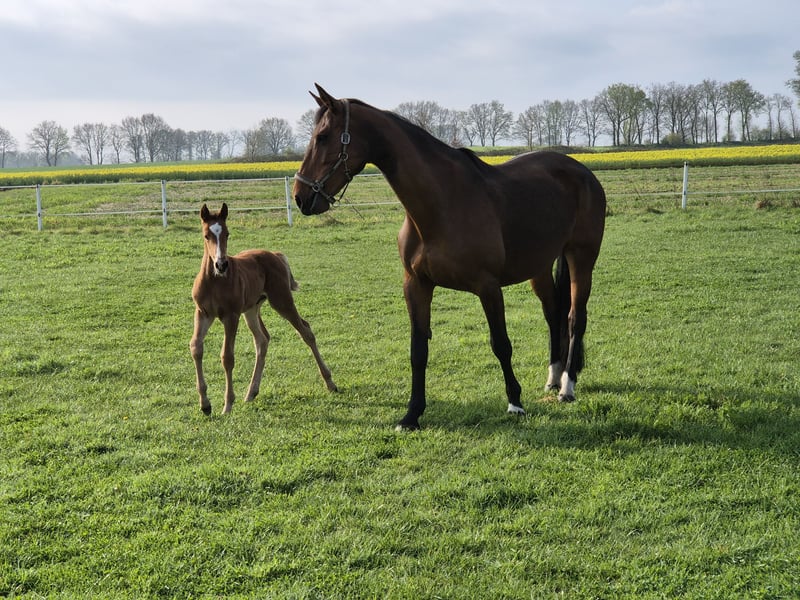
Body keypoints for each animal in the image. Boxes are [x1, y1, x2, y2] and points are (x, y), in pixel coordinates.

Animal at [190, 202, 338, 415]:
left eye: (227, 233)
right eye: (206, 235)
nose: (221, 264)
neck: (214, 281)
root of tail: (275, 254)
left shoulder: (231, 316)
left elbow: (227, 357)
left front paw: (227, 405)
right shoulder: (203, 313)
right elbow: (196, 347)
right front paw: (205, 404)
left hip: (281, 300)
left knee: (306, 331)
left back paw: (330, 382)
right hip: (251, 310)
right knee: (262, 339)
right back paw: (251, 392)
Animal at [294, 85, 606, 431]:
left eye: (323, 136)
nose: (300, 197)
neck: (441, 204)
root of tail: (582, 171)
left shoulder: (488, 287)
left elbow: (501, 344)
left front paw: (515, 403)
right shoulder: (416, 285)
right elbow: (418, 350)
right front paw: (412, 414)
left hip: (582, 259)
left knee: (575, 318)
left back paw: (567, 386)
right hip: (538, 268)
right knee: (553, 314)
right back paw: (553, 378)